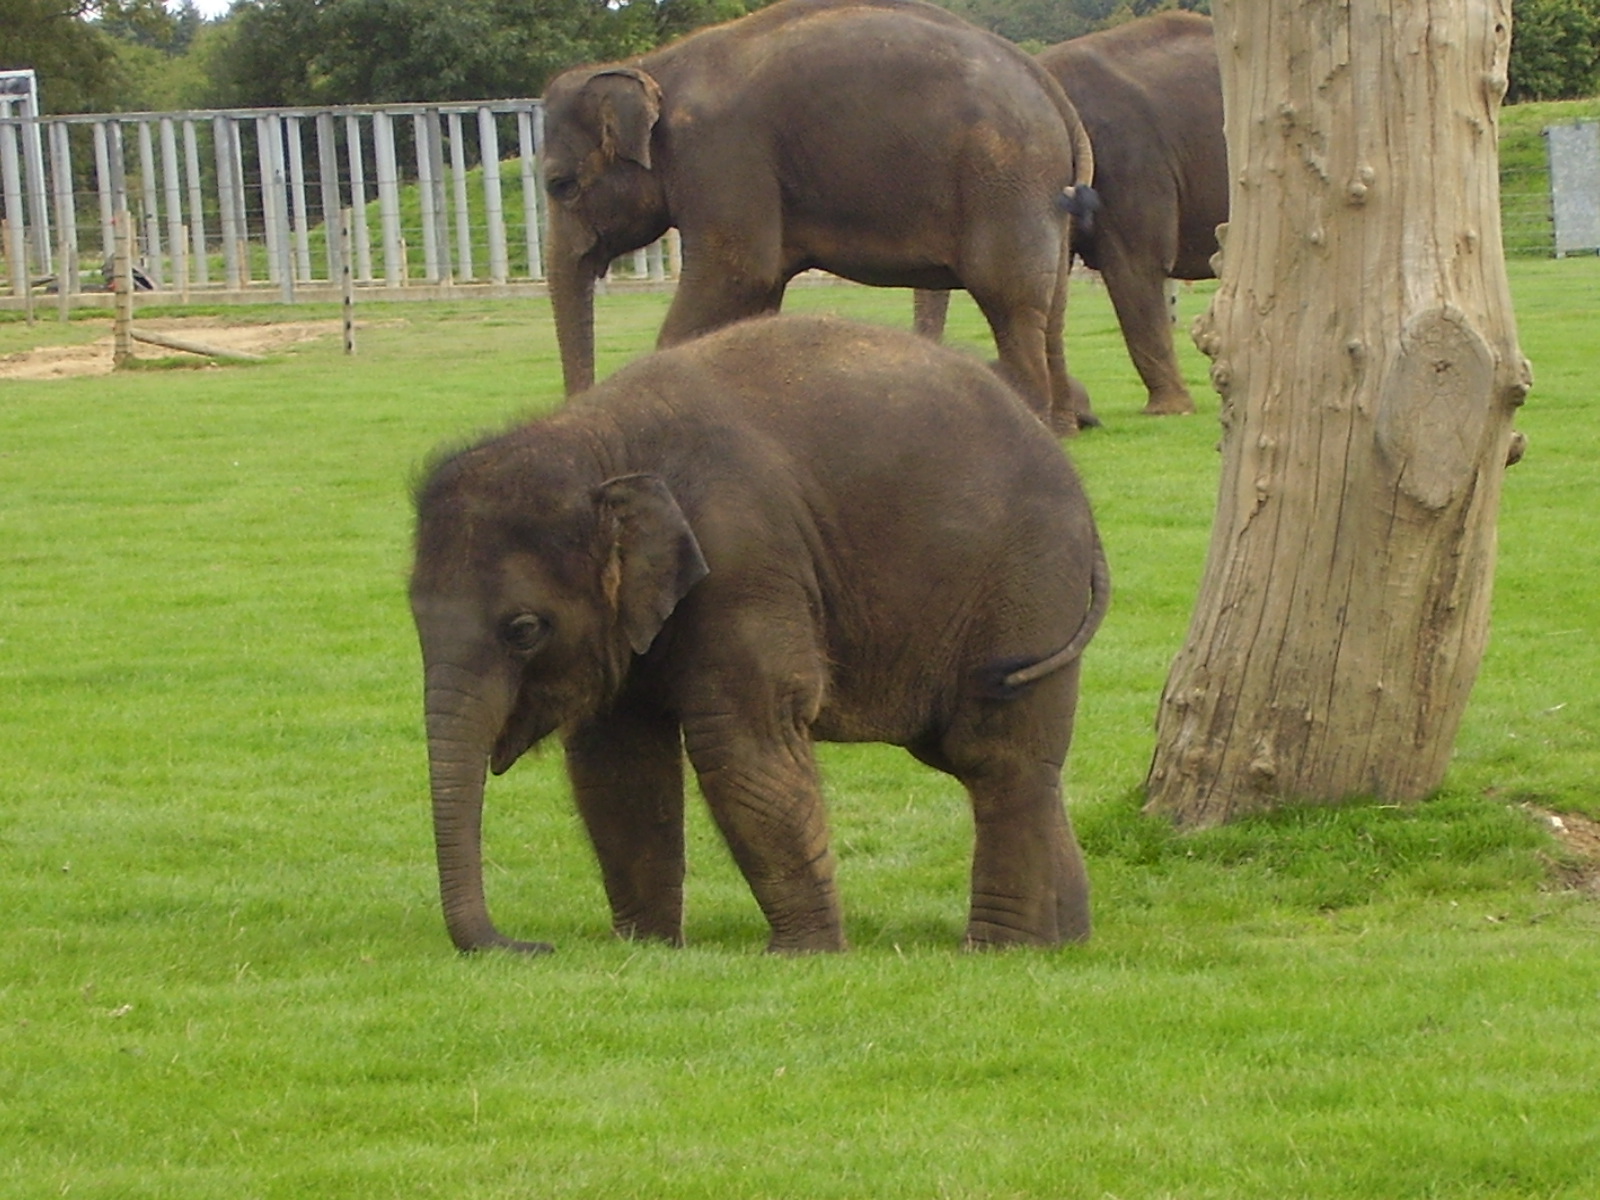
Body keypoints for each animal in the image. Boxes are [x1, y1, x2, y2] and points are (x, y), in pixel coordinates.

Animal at [409, 314, 1110, 955]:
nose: (533, 947)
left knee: (996, 752)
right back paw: (1066, 941)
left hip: (1027, 583)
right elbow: (616, 760)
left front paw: (803, 955)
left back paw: (999, 950)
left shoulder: (741, 558)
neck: (600, 441)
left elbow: (743, 744)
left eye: (524, 629)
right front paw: (645, 949)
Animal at [539, 0, 1099, 433]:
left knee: (1010, 303)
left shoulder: (721, 154)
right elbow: (759, 292)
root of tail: (1053, 93)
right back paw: (1062, 428)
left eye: (559, 186)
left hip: (1002, 179)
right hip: (1040, 196)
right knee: (1052, 308)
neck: (651, 63)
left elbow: (738, 272)